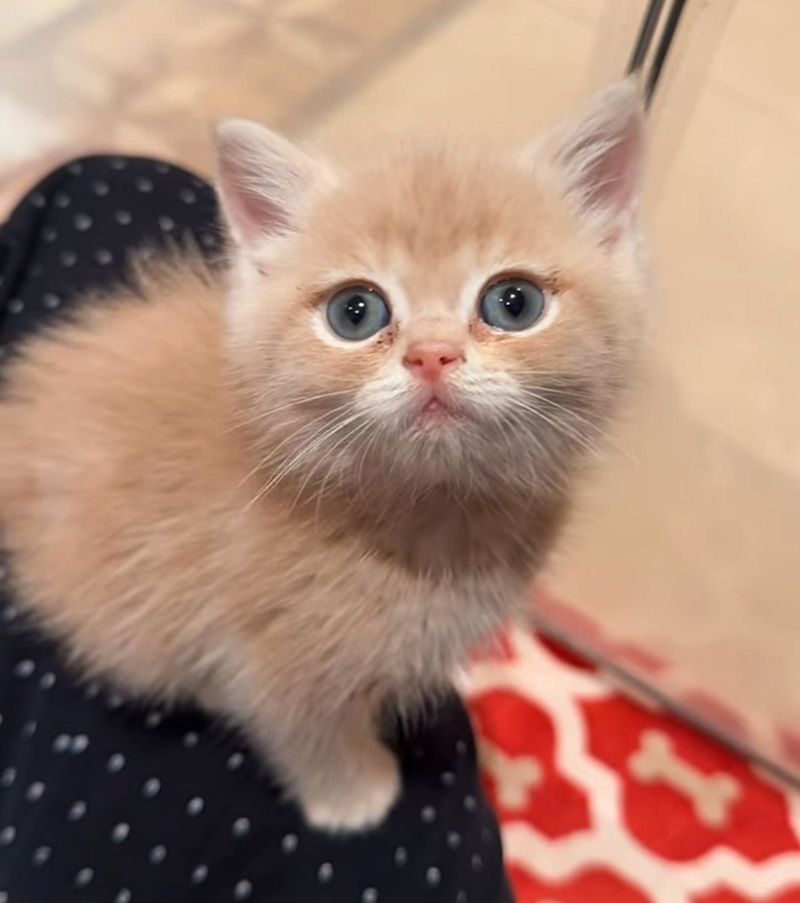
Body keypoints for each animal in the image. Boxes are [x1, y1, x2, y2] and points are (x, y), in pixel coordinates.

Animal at [0, 83, 648, 832]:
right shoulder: (270, 657)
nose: (432, 355)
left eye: (514, 303)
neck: (424, 520)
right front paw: (355, 794)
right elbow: (306, 729)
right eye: (355, 312)